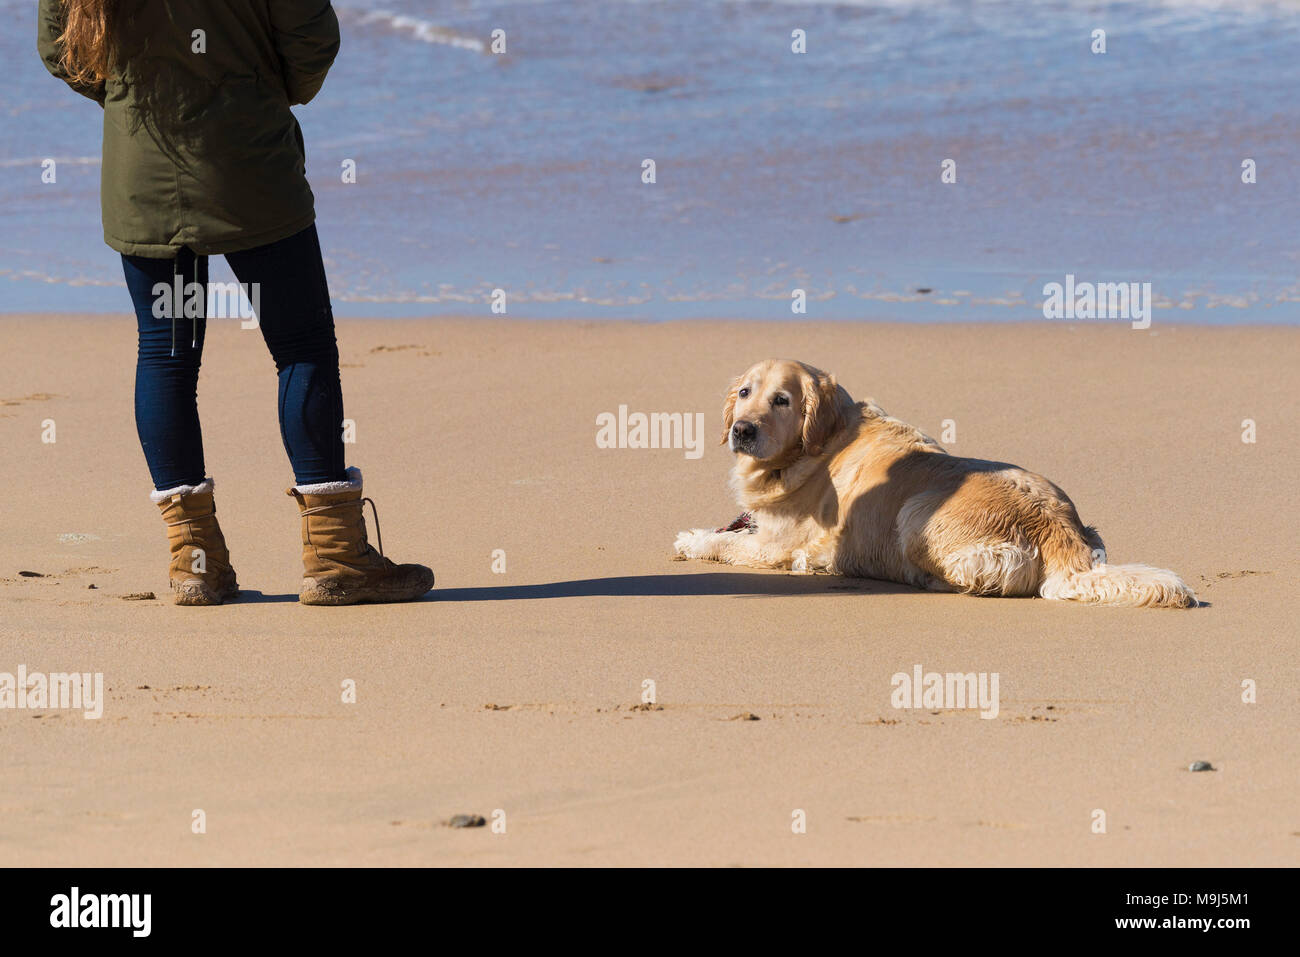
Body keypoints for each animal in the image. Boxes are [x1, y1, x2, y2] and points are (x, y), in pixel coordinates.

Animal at [676, 358, 1190, 605]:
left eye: (781, 400)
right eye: (745, 392)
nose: (742, 429)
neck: (819, 442)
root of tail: (1061, 533)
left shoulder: (776, 546)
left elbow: (728, 543)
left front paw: (693, 539)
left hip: (916, 512)